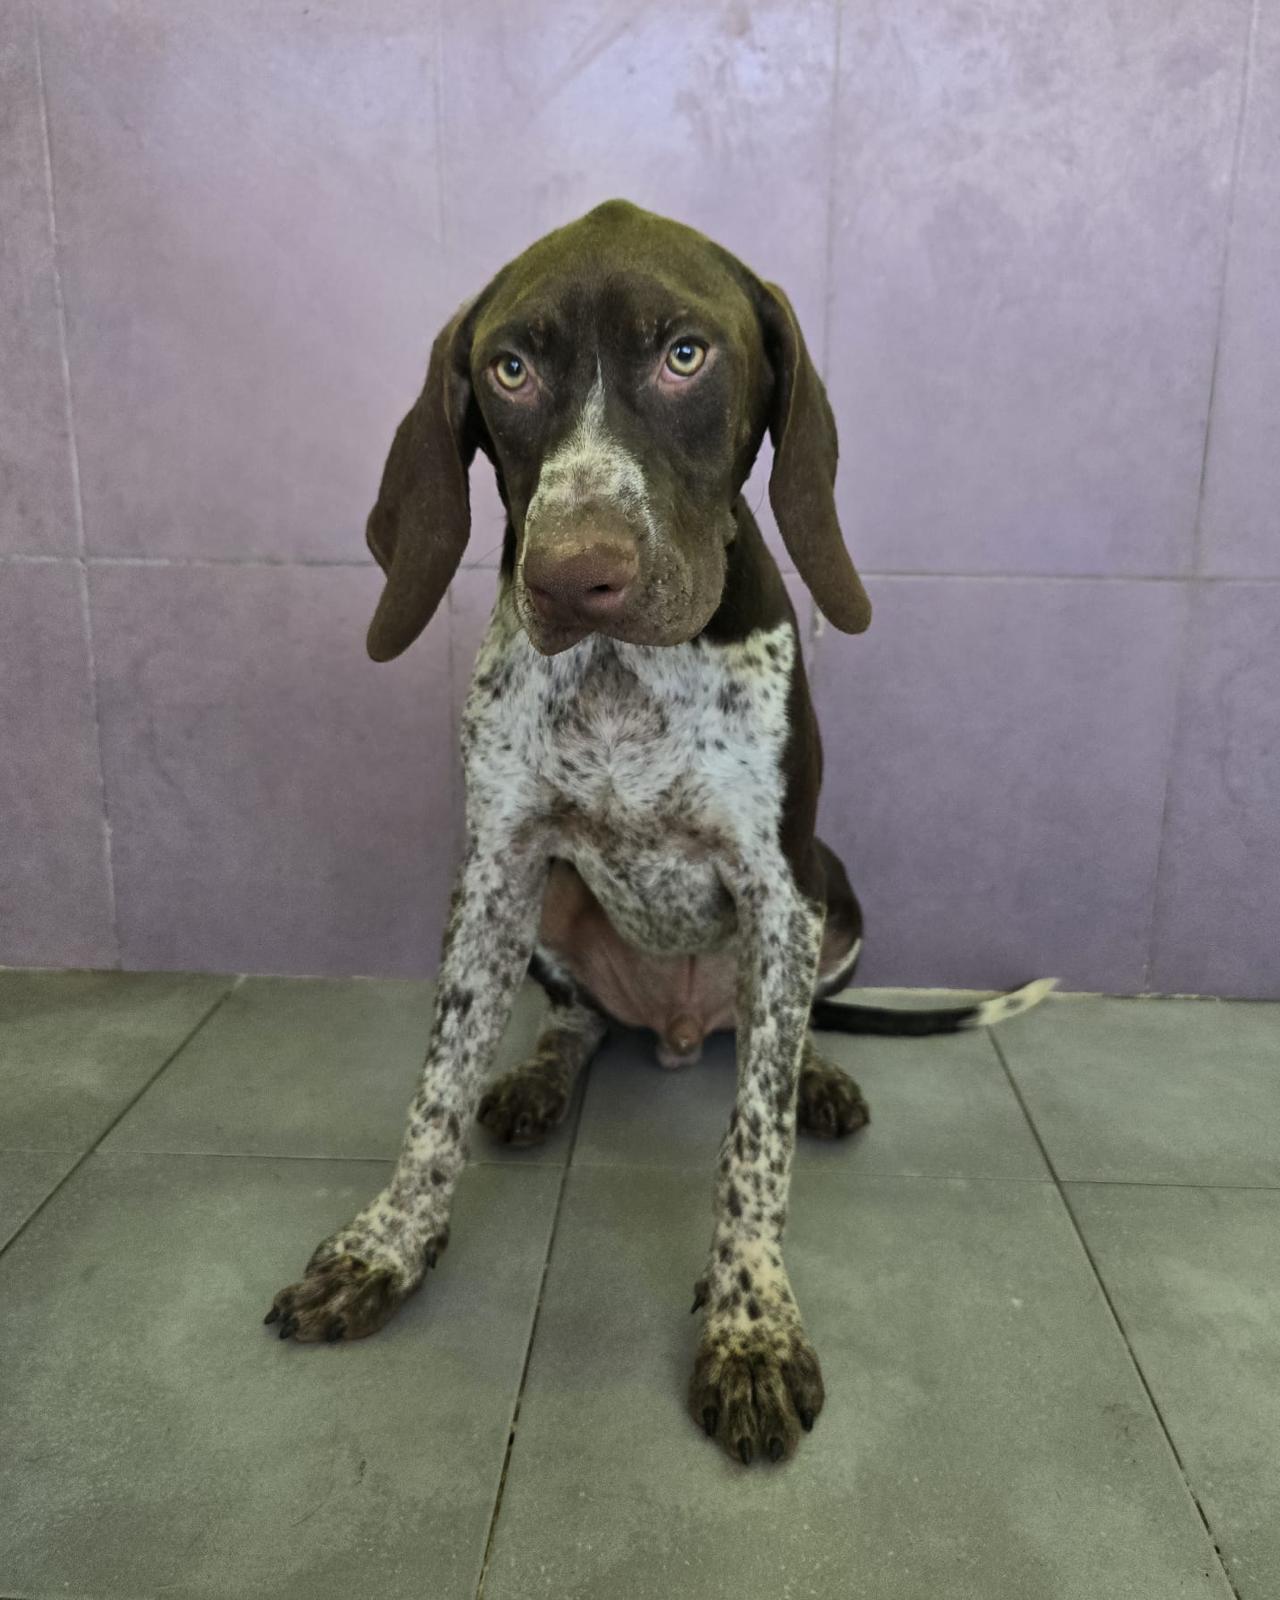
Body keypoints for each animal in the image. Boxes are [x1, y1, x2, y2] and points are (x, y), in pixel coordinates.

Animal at [266, 200, 1053, 1465]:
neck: (621, 678)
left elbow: (751, 1148)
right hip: (552, 904)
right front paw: (386, 1244)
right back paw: (542, 1077)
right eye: (510, 368)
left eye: (686, 353)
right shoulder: (494, 869)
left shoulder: (780, 888)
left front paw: (749, 1323)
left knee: (778, 1035)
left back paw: (816, 1072)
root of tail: (683, 1027)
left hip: (833, 890)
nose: (573, 575)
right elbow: (434, 1090)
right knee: (581, 1020)